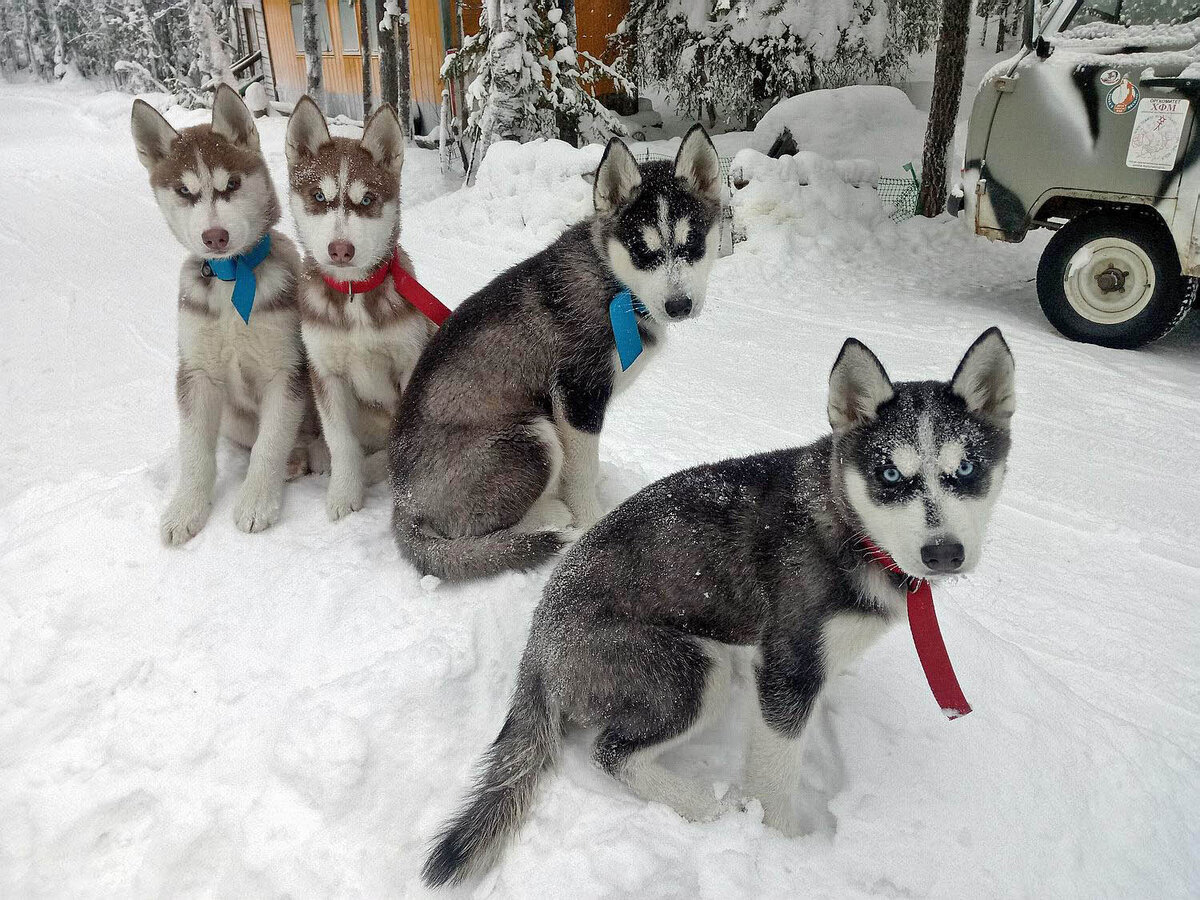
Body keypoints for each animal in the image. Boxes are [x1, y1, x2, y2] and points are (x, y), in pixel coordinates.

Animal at [132, 88, 321, 547]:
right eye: (184, 191)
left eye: (232, 184)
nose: (214, 237)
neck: (232, 277)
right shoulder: (196, 372)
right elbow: (196, 450)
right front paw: (186, 509)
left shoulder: (286, 371)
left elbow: (270, 444)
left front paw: (256, 503)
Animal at [283, 97, 439, 520]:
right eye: (319, 197)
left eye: (366, 199)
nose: (341, 250)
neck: (355, 297)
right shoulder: (325, 372)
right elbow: (340, 439)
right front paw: (344, 493)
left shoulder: (409, 360)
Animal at [388, 123, 715, 580]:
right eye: (642, 251)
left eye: (694, 243)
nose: (679, 305)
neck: (615, 285)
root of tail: (402, 503)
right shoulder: (576, 396)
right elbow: (581, 474)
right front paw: (592, 522)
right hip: (532, 437)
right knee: (477, 530)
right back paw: (548, 519)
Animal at [422, 331, 1012, 888]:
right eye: (890, 476)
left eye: (967, 470)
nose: (944, 553)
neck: (853, 531)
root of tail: (539, 643)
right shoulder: (788, 670)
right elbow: (775, 778)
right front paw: (781, 848)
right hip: (688, 672)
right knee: (612, 753)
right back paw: (707, 810)